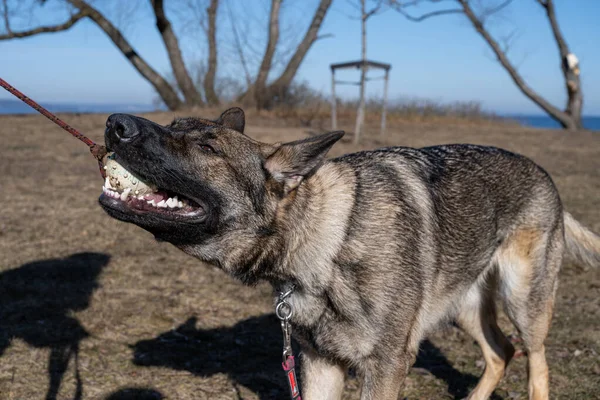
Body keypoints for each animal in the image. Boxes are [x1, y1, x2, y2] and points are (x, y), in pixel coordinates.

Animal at [99, 108, 600, 398]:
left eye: (207, 147)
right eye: (174, 126)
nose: (115, 123)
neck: (328, 238)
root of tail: (545, 176)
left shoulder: (386, 367)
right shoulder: (321, 365)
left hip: (524, 304)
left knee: (535, 363)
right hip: (462, 307)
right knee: (500, 353)